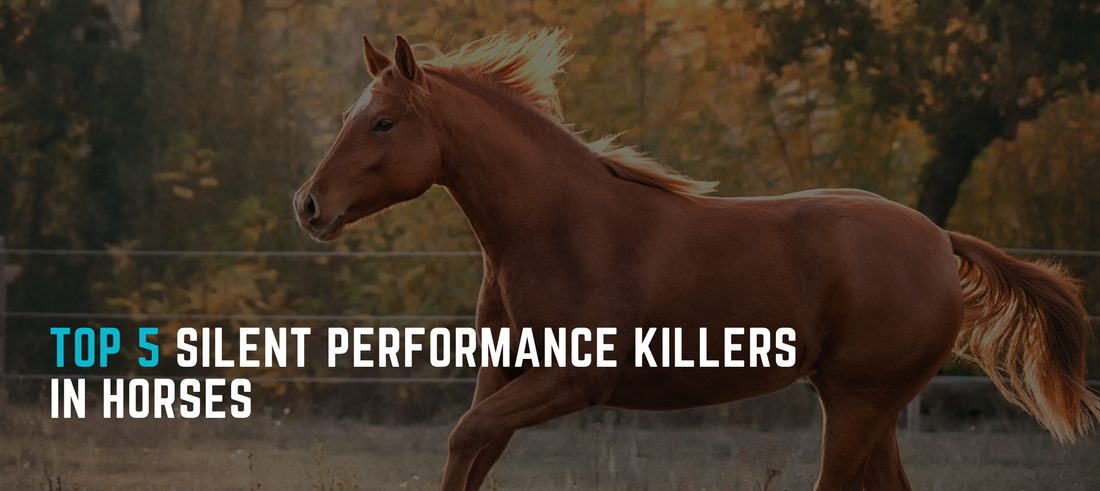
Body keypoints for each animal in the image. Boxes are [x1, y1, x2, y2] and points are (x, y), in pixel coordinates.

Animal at [293, 30, 1100, 490]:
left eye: (383, 122)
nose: (308, 205)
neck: (559, 229)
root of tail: (940, 238)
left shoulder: (577, 380)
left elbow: (467, 437)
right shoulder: (504, 375)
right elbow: (469, 449)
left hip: (859, 401)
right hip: (861, 403)